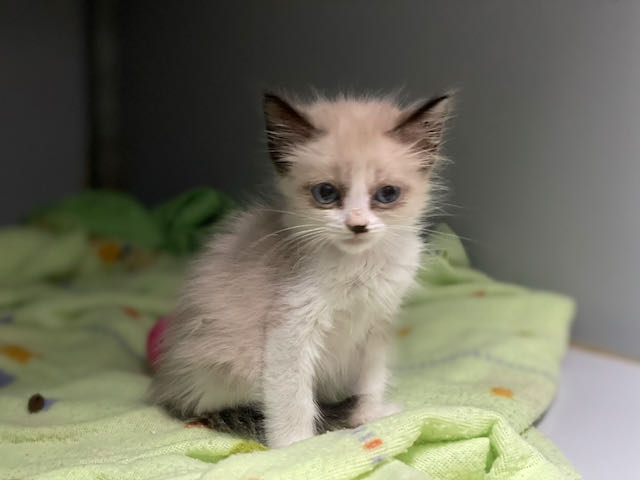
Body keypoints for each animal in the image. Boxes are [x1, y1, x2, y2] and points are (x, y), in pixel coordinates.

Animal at [149, 90, 452, 448]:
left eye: (387, 194)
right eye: (326, 193)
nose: (357, 226)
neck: (359, 265)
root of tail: (166, 387)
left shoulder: (376, 323)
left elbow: (371, 380)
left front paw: (370, 414)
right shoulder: (291, 327)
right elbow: (293, 397)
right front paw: (296, 447)